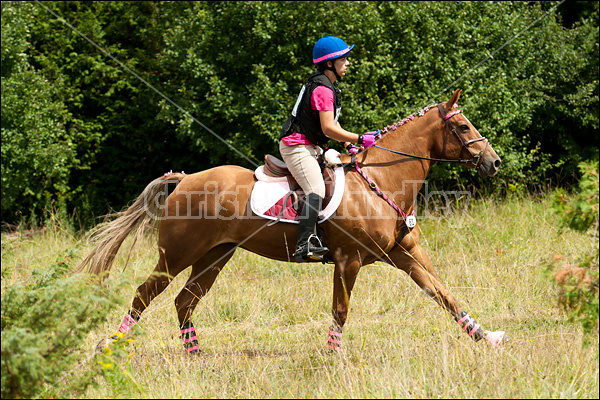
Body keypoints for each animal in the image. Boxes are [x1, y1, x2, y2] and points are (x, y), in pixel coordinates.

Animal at [81, 90, 506, 354]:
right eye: (463, 127)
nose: (494, 161)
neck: (379, 182)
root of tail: (184, 179)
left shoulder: (406, 254)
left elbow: (444, 295)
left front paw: (488, 337)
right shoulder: (348, 261)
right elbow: (340, 310)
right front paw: (333, 359)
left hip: (216, 255)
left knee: (185, 300)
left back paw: (196, 354)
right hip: (177, 254)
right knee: (143, 295)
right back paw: (110, 346)